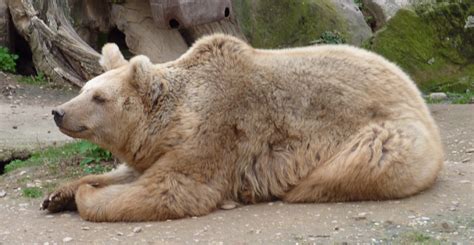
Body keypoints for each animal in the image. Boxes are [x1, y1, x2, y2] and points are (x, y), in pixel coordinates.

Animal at [42, 34, 442, 222]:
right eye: (83, 88)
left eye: (99, 97)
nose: (58, 112)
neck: (177, 117)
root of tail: (415, 92)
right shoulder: (161, 145)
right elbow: (134, 171)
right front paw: (58, 194)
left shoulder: (217, 131)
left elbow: (172, 187)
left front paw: (87, 196)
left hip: (387, 135)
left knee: (357, 162)